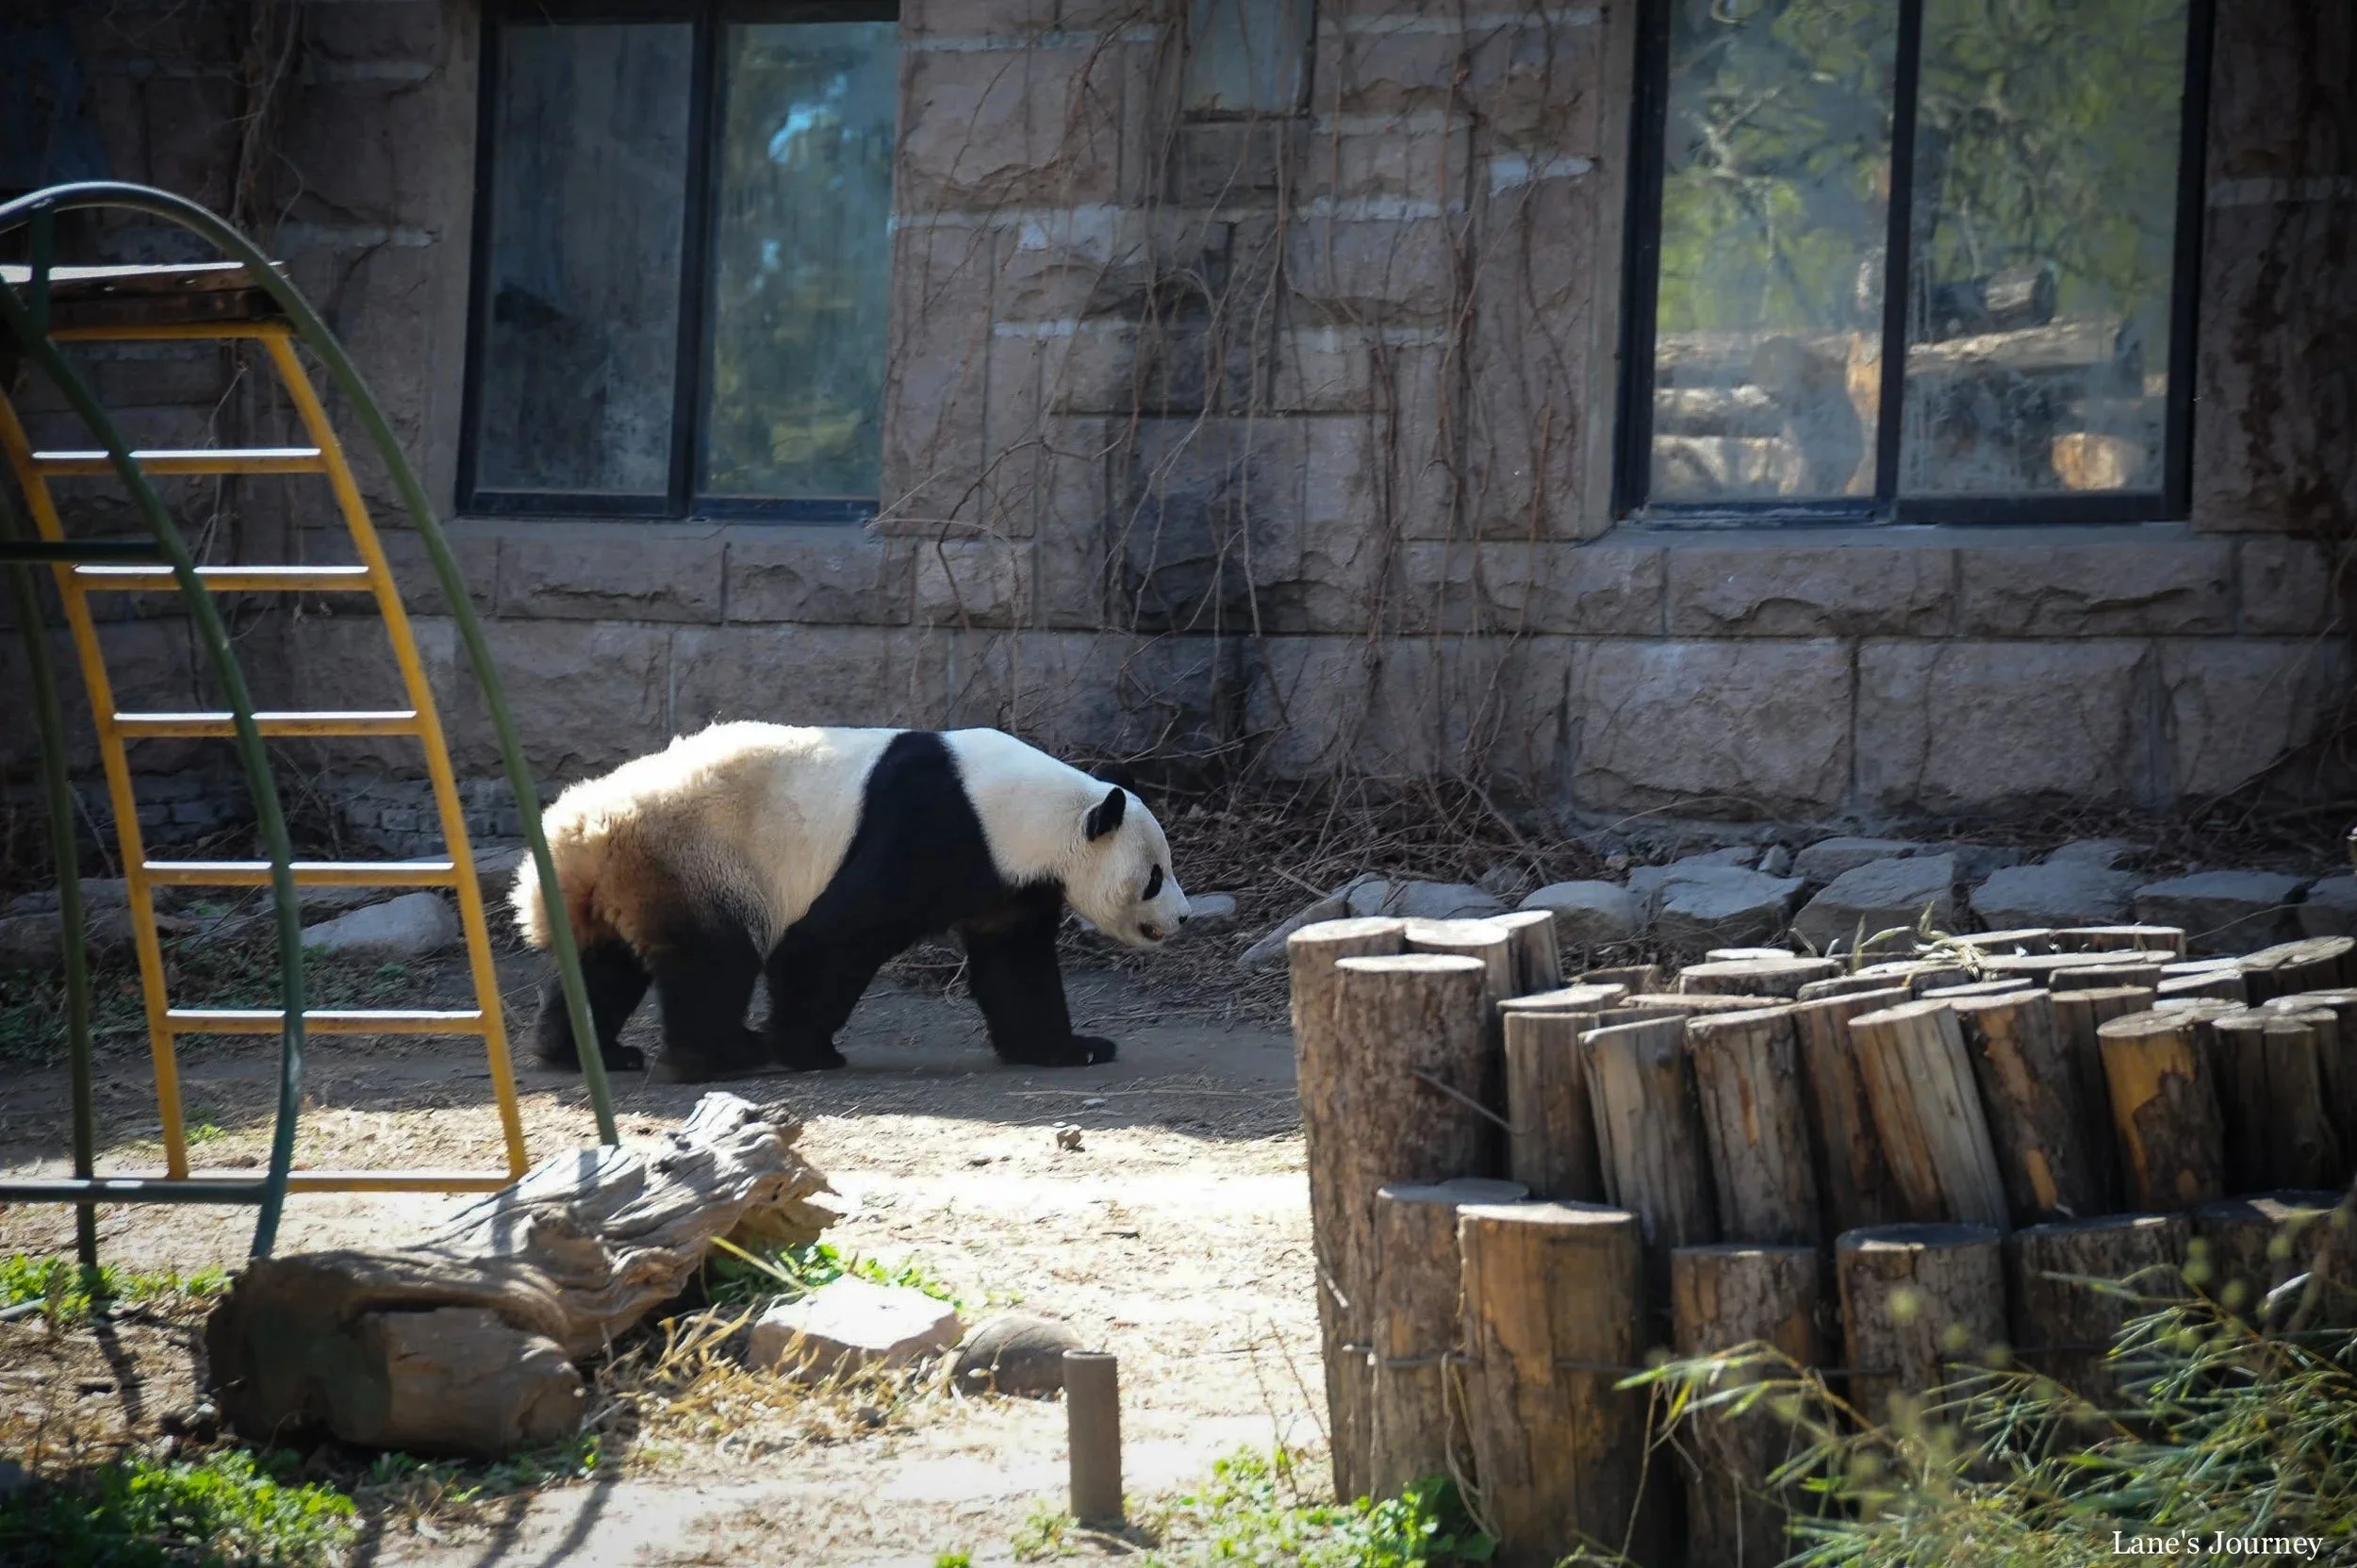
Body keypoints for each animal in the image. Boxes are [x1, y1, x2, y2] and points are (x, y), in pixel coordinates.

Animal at [508, 722, 1192, 1083]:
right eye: (1155, 875)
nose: (1183, 917)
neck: (1025, 808)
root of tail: (580, 834)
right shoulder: (933, 828)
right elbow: (832, 940)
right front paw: (804, 1049)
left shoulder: (1008, 878)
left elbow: (1015, 961)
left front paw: (1070, 1047)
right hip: (696, 857)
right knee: (713, 961)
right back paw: (722, 1054)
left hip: (630, 878)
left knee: (603, 967)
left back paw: (584, 1052)